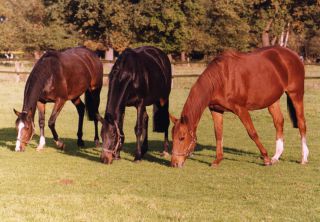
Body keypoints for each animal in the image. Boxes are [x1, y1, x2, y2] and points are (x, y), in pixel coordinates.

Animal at [171, 46, 308, 167]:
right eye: (172, 136)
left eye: (182, 138)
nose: (174, 163)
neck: (221, 79)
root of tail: (294, 55)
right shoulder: (216, 110)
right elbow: (218, 134)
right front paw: (217, 160)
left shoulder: (241, 109)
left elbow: (252, 133)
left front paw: (266, 159)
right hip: (273, 100)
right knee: (279, 122)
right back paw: (276, 157)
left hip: (296, 94)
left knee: (301, 123)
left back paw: (303, 158)